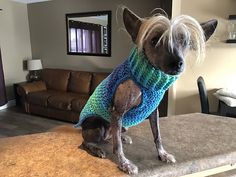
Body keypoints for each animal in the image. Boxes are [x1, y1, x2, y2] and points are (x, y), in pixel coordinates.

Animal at [75, 7, 218, 175]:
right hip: (97, 125)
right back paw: (97, 149)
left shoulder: (153, 112)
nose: (177, 63)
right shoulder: (117, 113)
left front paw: (162, 154)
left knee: (112, 136)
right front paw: (124, 163)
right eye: (154, 40)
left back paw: (122, 137)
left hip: (122, 125)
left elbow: (157, 136)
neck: (146, 82)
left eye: (185, 42)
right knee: (86, 142)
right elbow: (118, 148)